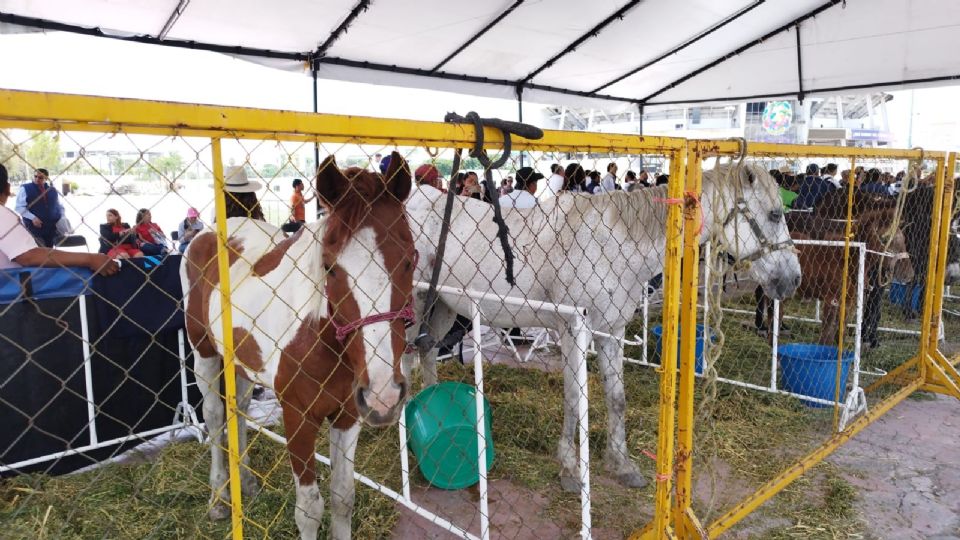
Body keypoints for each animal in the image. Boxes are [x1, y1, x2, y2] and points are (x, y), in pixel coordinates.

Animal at [182, 152, 414, 540]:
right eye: (330, 267)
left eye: (410, 260)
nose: (384, 396)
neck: (319, 338)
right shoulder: (297, 418)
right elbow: (308, 510)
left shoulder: (348, 414)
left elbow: (342, 497)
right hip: (205, 354)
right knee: (214, 415)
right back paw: (218, 498)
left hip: (240, 363)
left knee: (238, 410)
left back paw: (246, 482)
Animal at [402, 163, 800, 490]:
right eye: (773, 214)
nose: (793, 279)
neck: (613, 244)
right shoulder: (571, 335)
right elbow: (574, 399)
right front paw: (569, 469)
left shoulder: (612, 333)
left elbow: (616, 399)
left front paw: (622, 465)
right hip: (416, 307)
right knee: (405, 361)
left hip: (443, 309)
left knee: (426, 354)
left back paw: (430, 406)